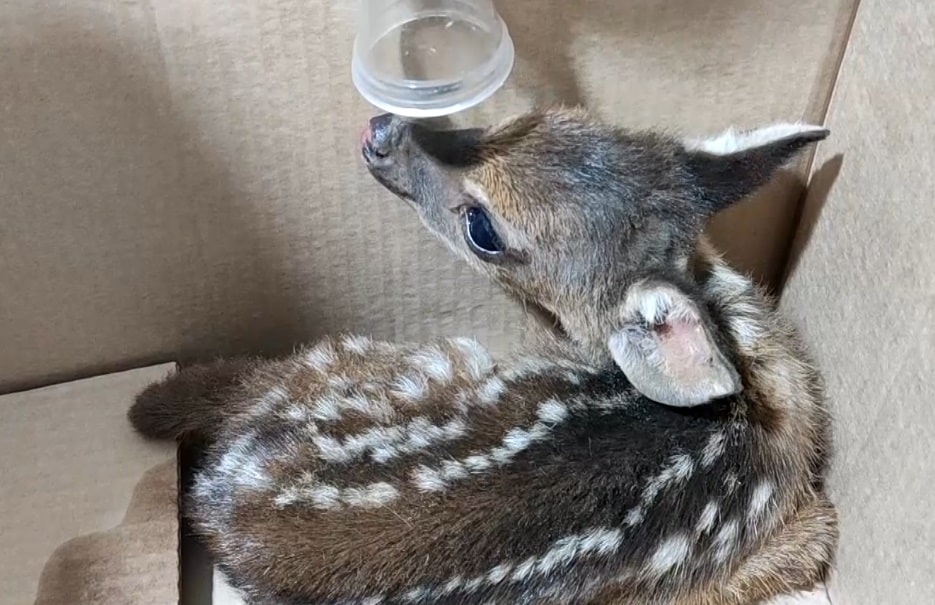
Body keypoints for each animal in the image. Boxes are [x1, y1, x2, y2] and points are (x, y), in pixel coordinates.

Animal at [128, 108, 836, 604]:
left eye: (483, 229)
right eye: (522, 118)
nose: (381, 130)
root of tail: (216, 498)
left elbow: (811, 540)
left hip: (406, 357)